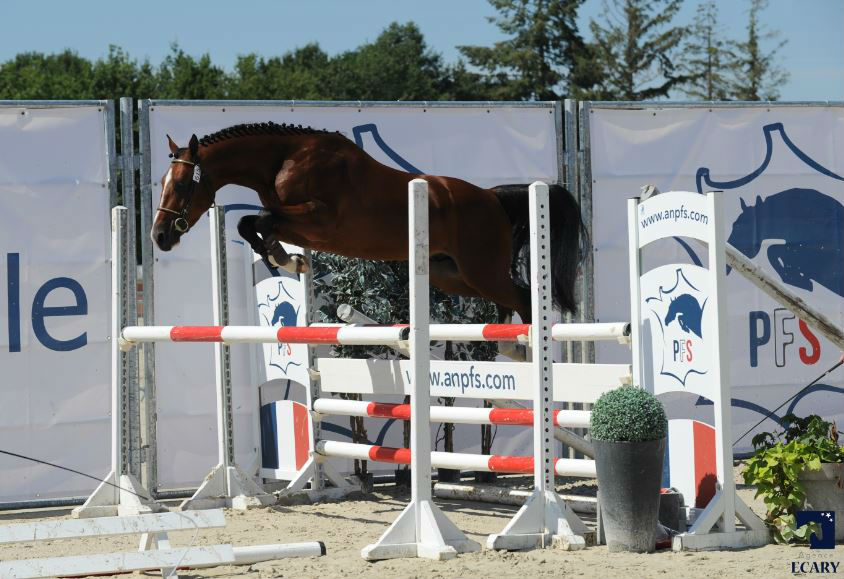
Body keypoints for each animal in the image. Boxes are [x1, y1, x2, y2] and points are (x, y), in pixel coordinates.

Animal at [152, 122, 588, 324]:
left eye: (180, 184)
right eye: (161, 182)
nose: (159, 236)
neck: (284, 160)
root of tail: (492, 196)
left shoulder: (319, 219)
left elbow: (256, 218)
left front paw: (285, 259)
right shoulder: (300, 225)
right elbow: (253, 223)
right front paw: (287, 259)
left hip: (482, 270)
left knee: (523, 297)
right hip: (451, 273)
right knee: (508, 299)